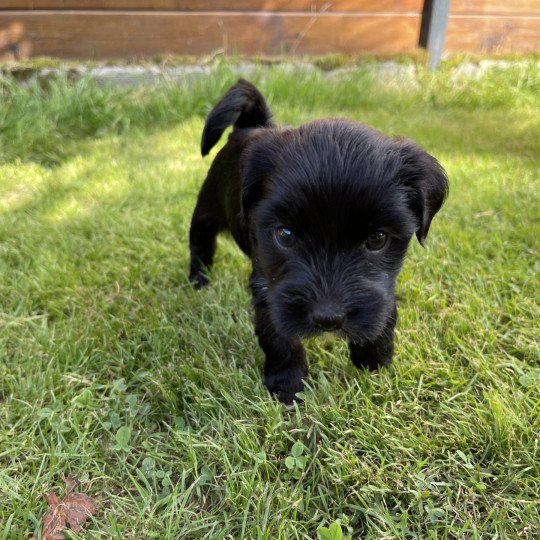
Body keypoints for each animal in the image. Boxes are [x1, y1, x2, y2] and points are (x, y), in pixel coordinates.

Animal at [190, 78, 448, 402]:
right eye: (285, 235)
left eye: (378, 238)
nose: (328, 318)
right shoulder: (268, 286)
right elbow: (278, 334)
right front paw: (287, 384)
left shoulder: (383, 284)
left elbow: (385, 305)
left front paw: (374, 356)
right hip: (207, 209)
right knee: (200, 242)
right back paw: (199, 281)